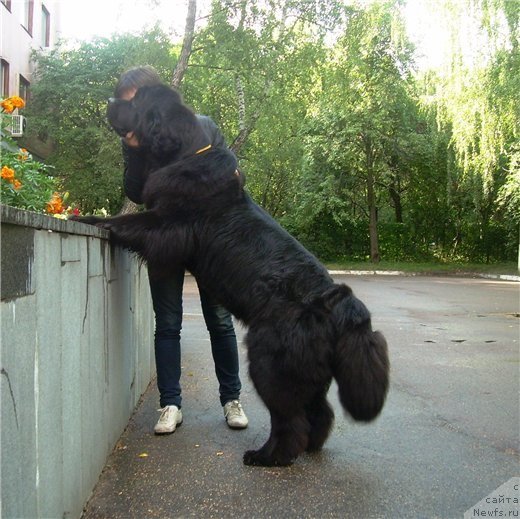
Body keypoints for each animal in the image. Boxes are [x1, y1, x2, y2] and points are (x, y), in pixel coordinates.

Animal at [75, 85, 388, 468]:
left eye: (136, 101)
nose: (108, 101)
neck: (181, 153)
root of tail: (338, 301)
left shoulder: (168, 224)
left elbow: (127, 223)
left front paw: (86, 219)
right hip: (309, 372)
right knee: (319, 411)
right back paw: (309, 446)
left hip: (270, 363)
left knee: (290, 418)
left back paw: (268, 456)